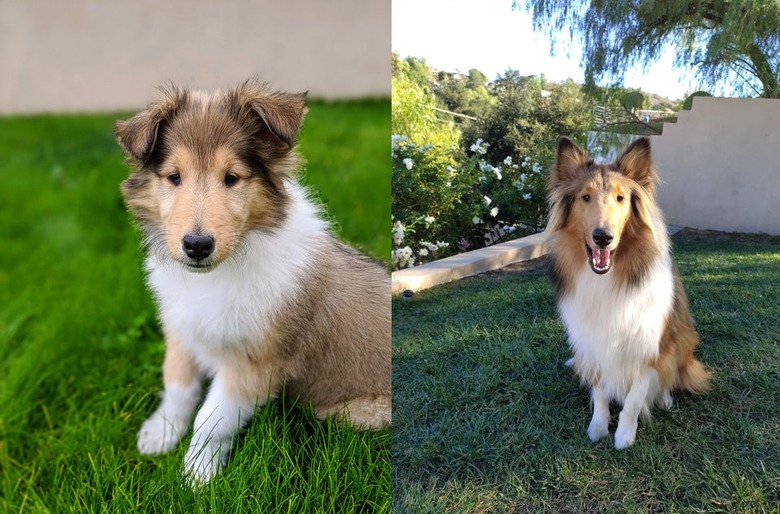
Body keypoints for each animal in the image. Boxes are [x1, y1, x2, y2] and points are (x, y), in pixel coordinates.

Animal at [544, 137, 708, 448]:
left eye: (621, 198)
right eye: (585, 197)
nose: (603, 237)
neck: (607, 279)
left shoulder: (648, 343)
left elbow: (634, 398)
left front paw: (624, 435)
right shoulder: (593, 341)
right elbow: (599, 391)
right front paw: (598, 426)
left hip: (682, 337)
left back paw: (665, 398)